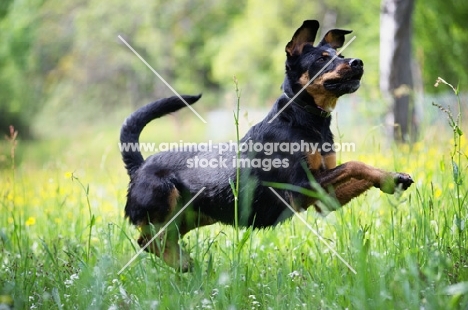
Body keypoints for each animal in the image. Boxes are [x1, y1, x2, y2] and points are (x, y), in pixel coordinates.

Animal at [119, 20, 414, 272]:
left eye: (339, 55)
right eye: (321, 58)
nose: (357, 62)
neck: (304, 117)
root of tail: (139, 166)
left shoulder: (325, 199)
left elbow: (359, 170)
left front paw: (391, 179)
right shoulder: (298, 189)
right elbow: (354, 164)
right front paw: (390, 178)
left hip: (193, 216)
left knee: (154, 243)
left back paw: (185, 264)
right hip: (165, 205)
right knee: (147, 241)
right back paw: (184, 264)